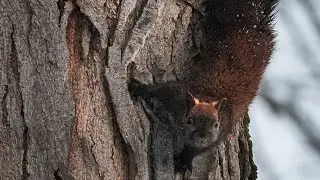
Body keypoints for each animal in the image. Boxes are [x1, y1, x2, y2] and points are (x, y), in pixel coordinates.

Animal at [127, 0, 278, 174]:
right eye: (190, 120)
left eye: (216, 124)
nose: (202, 137)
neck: (208, 96)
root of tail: (254, 26)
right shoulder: (176, 94)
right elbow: (159, 90)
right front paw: (139, 88)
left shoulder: (220, 134)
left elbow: (198, 150)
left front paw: (185, 159)